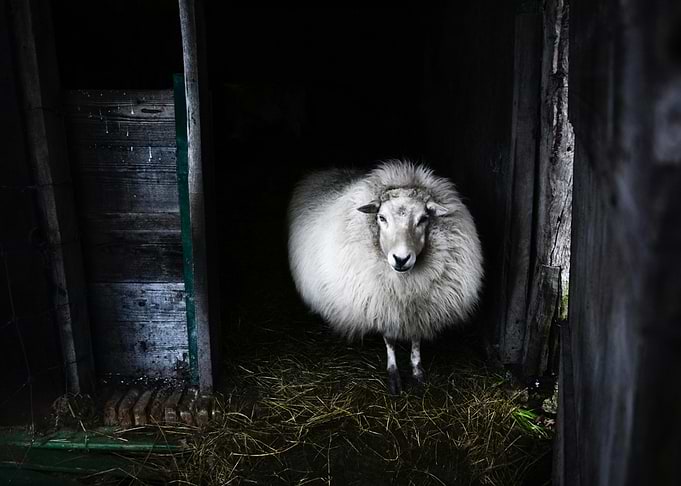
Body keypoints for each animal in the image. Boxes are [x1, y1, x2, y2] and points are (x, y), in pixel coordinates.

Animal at [287, 160, 483, 394]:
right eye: (381, 217)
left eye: (423, 219)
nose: (401, 258)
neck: (406, 284)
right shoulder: (383, 305)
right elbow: (389, 340)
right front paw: (394, 375)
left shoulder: (419, 309)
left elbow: (416, 340)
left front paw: (417, 372)